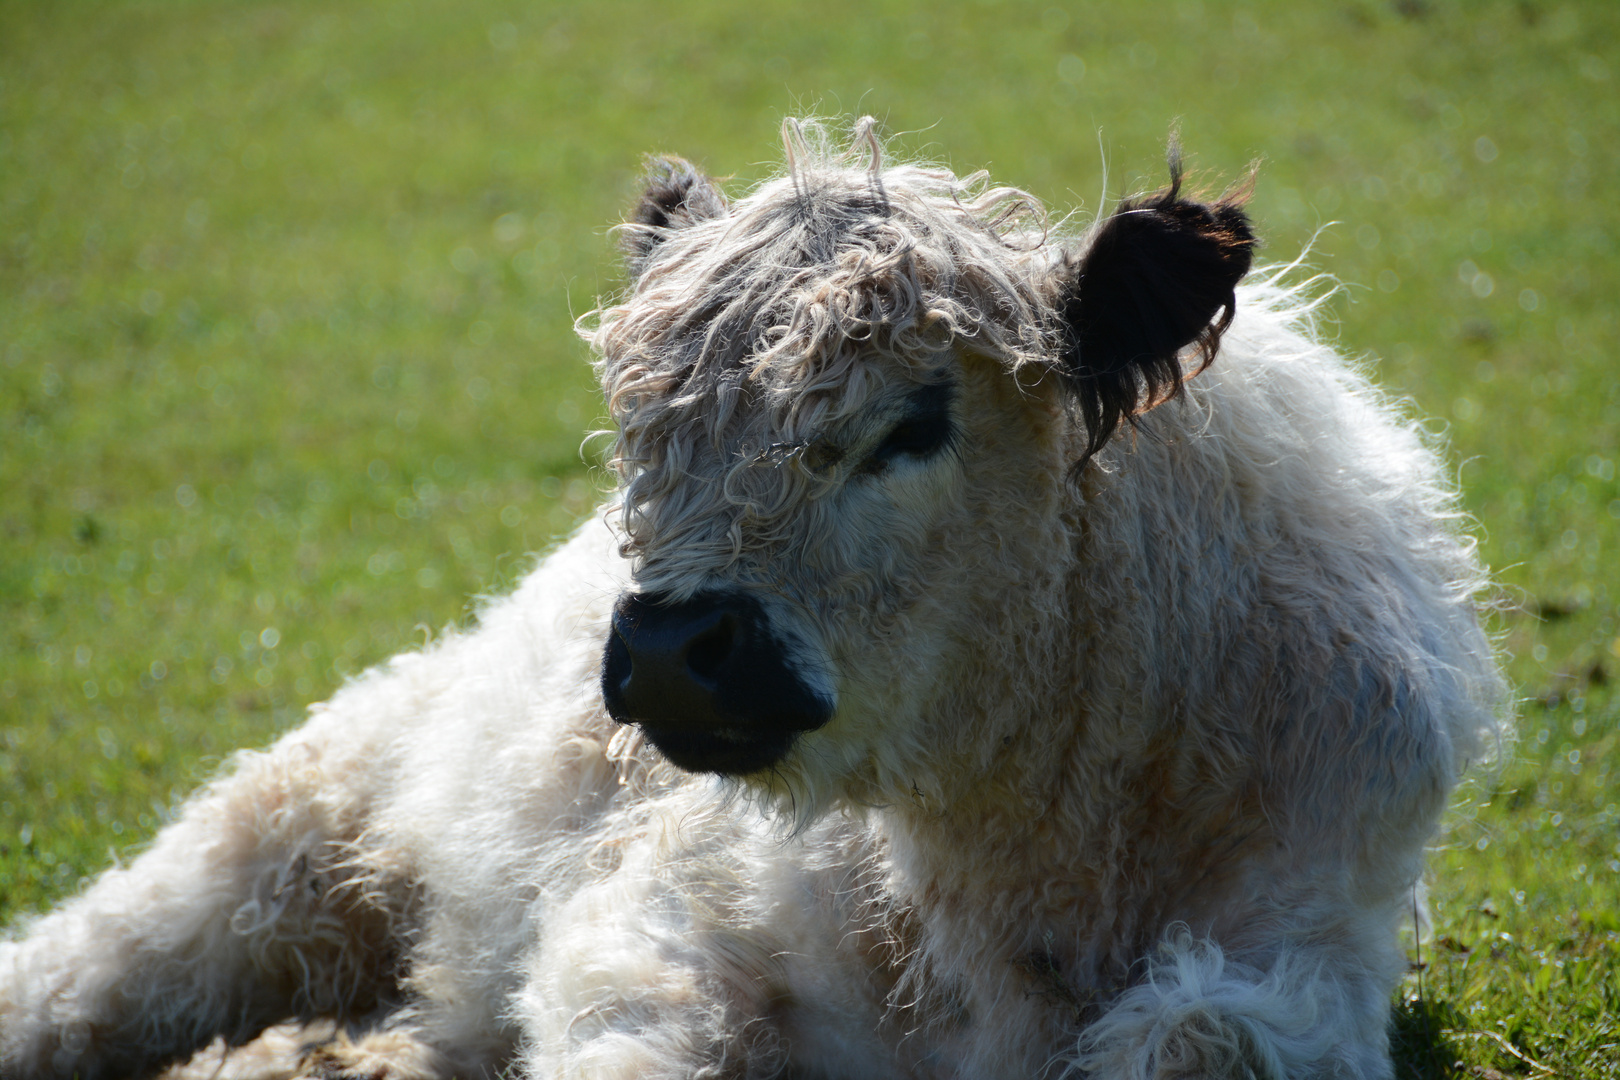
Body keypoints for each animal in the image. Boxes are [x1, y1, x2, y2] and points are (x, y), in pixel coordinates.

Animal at [6, 120, 1509, 1080]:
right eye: (637, 431)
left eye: (915, 423)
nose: (674, 647)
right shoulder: (659, 931)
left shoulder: (1311, 938)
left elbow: (1199, 1039)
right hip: (292, 830)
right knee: (87, 973)